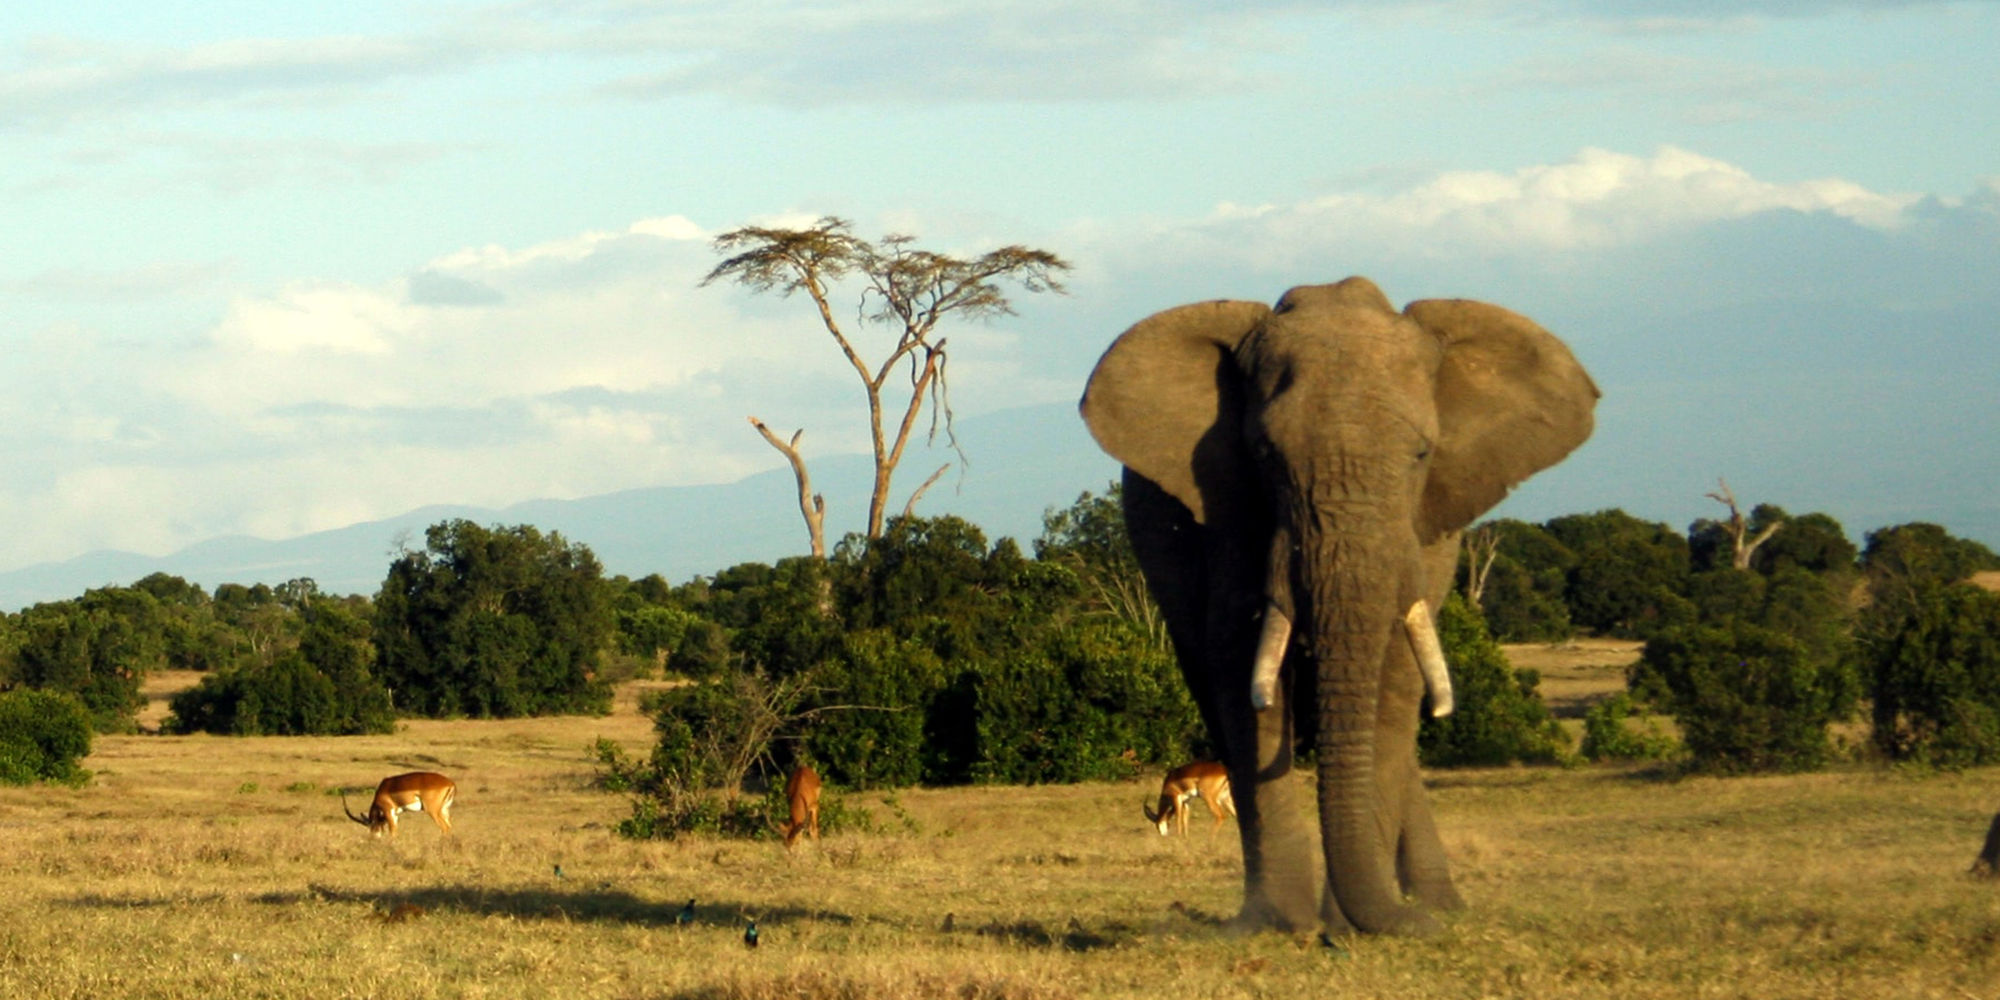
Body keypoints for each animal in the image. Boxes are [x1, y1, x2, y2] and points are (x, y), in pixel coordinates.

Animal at [1079, 276, 1597, 936]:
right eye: (1264, 456)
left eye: (1422, 455)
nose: (1406, 929)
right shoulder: (1227, 510)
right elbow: (1241, 672)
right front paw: (1276, 922)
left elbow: (1395, 677)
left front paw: (1356, 925)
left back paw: (1434, 905)